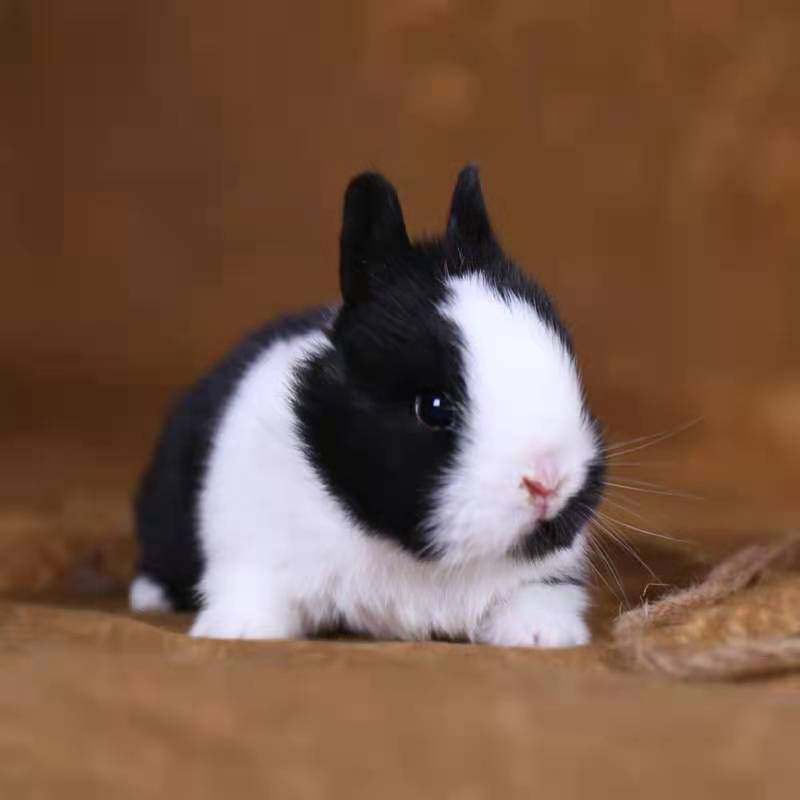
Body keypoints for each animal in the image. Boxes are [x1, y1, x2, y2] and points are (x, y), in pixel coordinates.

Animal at [130, 165, 606, 647]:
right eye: (433, 408)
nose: (548, 481)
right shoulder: (250, 551)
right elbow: (252, 593)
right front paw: (239, 631)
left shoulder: (546, 577)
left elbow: (538, 597)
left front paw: (542, 635)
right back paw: (149, 597)